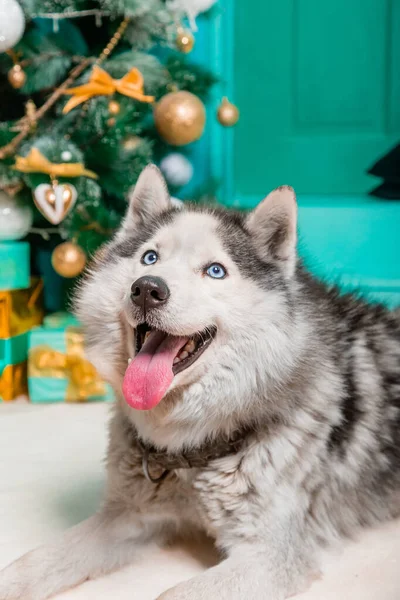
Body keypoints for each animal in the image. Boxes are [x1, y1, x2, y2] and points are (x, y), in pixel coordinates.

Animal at [0, 165, 400, 600]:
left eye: (215, 271)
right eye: (150, 257)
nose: (147, 288)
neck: (190, 445)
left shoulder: (269, 558)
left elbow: (171, 595)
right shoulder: (128, 516)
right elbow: (36, 560)